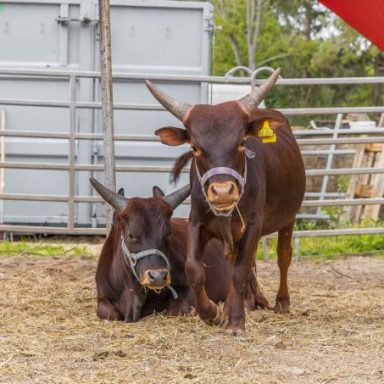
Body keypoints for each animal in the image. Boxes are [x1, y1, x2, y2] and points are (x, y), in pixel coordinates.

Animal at [90, 178, 266, 322]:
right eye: (131, 235)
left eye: (167, 233)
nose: (158, 276)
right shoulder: (102, 298)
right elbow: (108, 313)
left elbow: (175, 310)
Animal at [146, 67, 304, 334]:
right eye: (195, 148)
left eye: (241, 143)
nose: (222, 192)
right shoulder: (197, 223)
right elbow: (195, 269)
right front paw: (211, 312)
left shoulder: (253, 225)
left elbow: (240, 272)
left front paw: (236, 322)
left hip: (288, 218)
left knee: (283, 256)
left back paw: (281, 301)